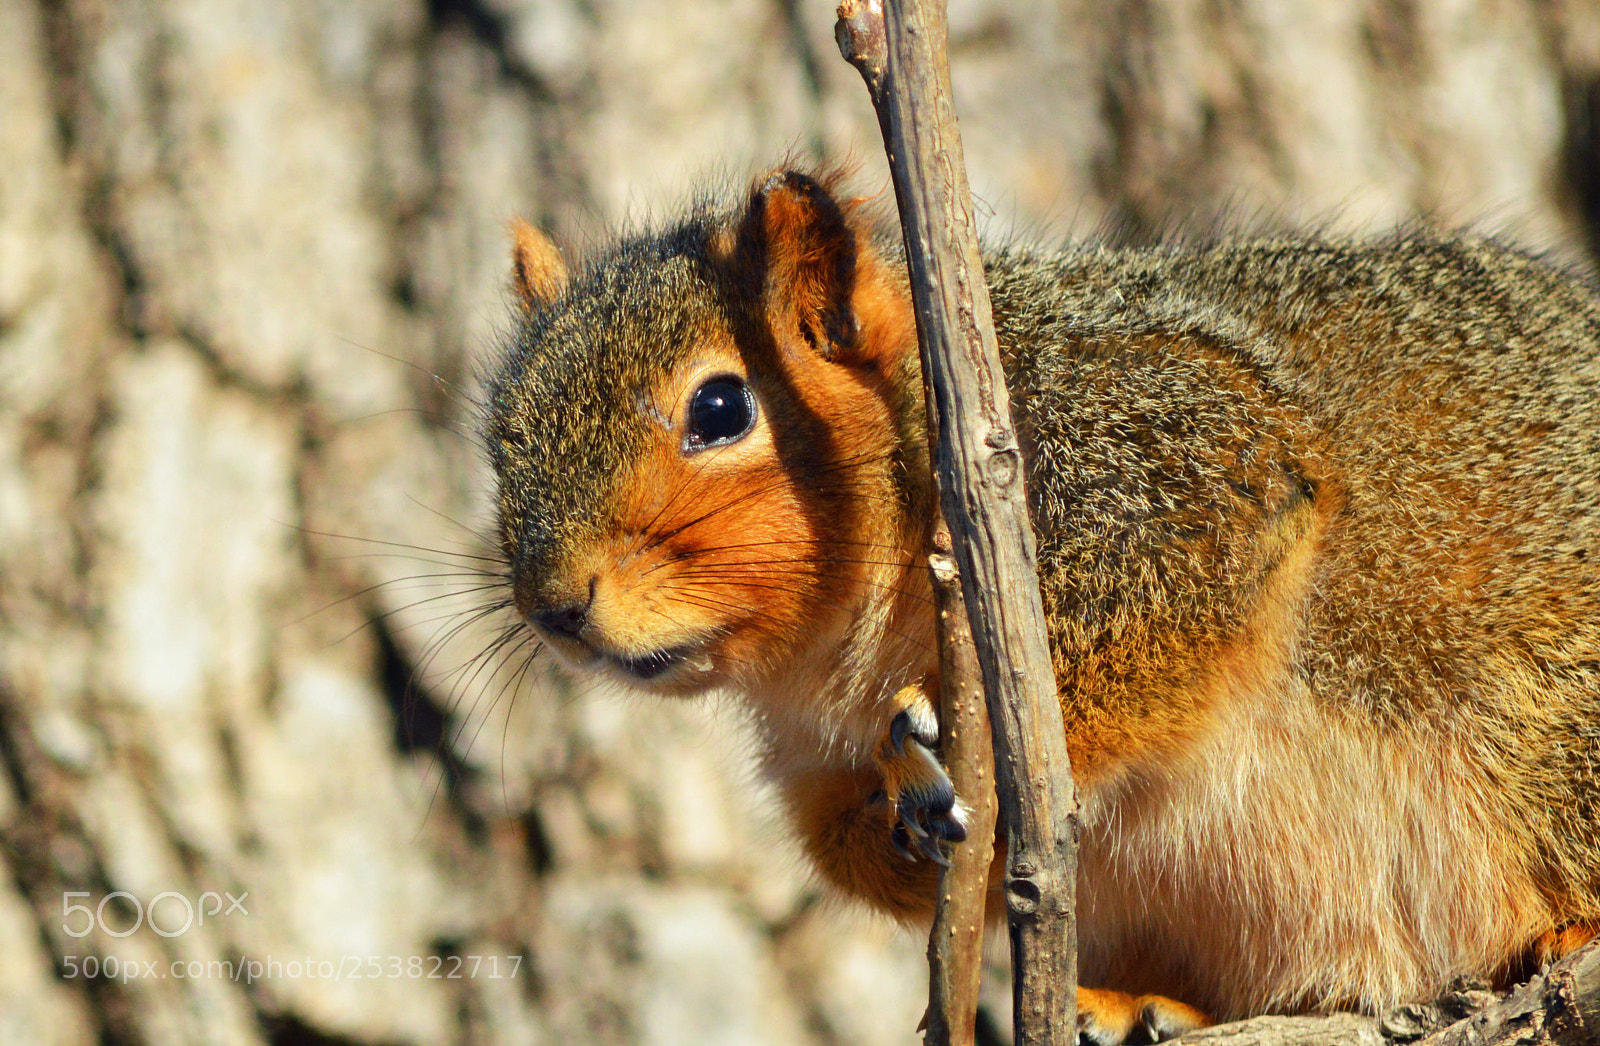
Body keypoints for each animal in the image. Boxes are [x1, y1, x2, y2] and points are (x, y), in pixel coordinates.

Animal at [484, 167, 1600, 1042]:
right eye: (500, 440)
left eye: (720, 407)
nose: (556, 605)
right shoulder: (812, 753)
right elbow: (840, 846)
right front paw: (897, 824)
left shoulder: (1172, 456)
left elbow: (1161, 613)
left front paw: (972, 728)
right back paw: (1144, 1004)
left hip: (1552, 730)